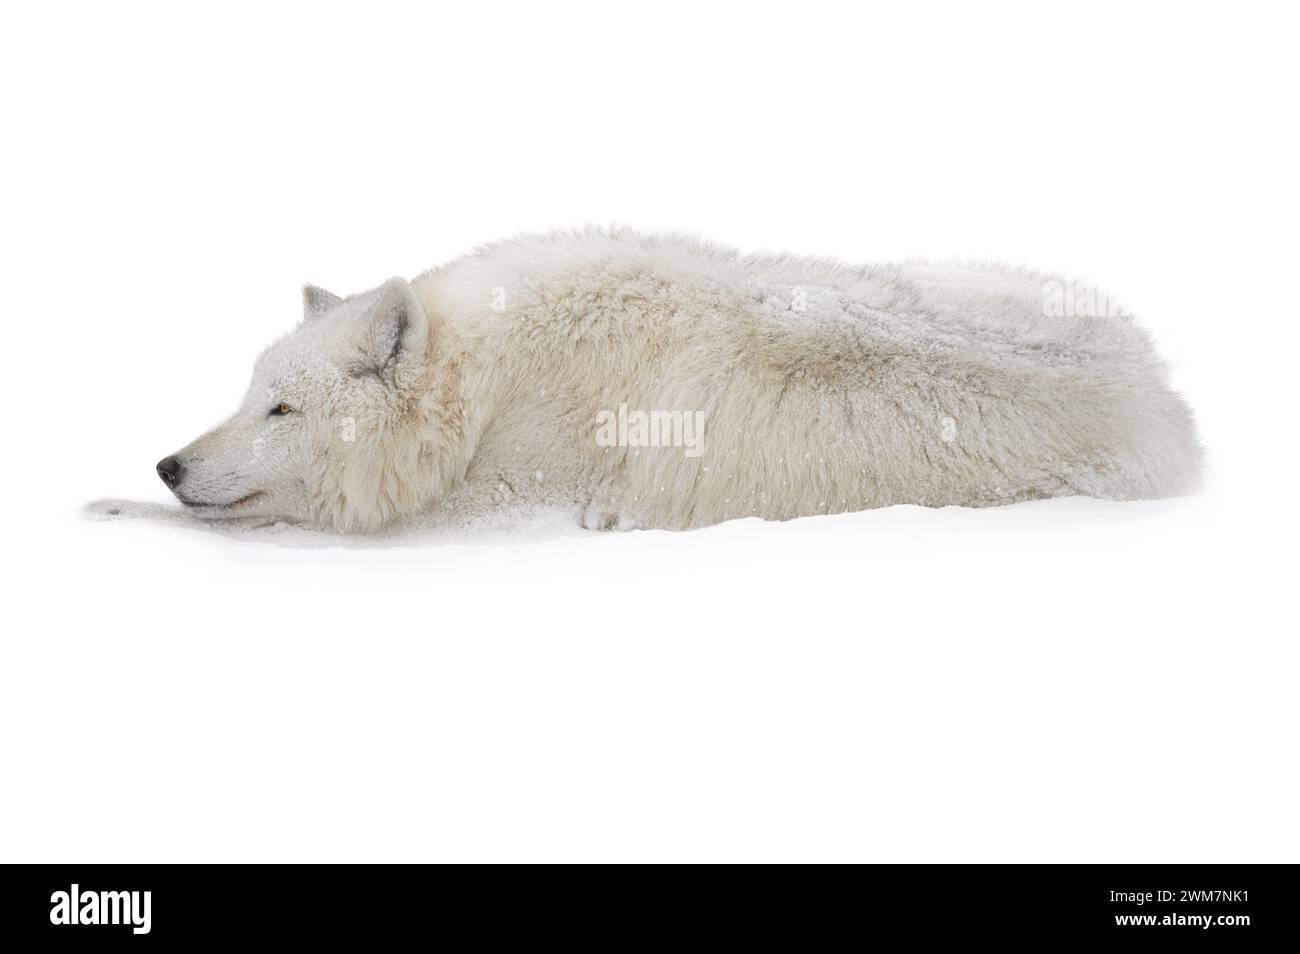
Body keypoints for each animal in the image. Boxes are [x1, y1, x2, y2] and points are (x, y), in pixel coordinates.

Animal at [154, 227, 1201, 532]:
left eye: (283, 407)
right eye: (246, 396)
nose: (167, 465)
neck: (484, 387)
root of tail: (1174, 409)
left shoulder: (512, 494)